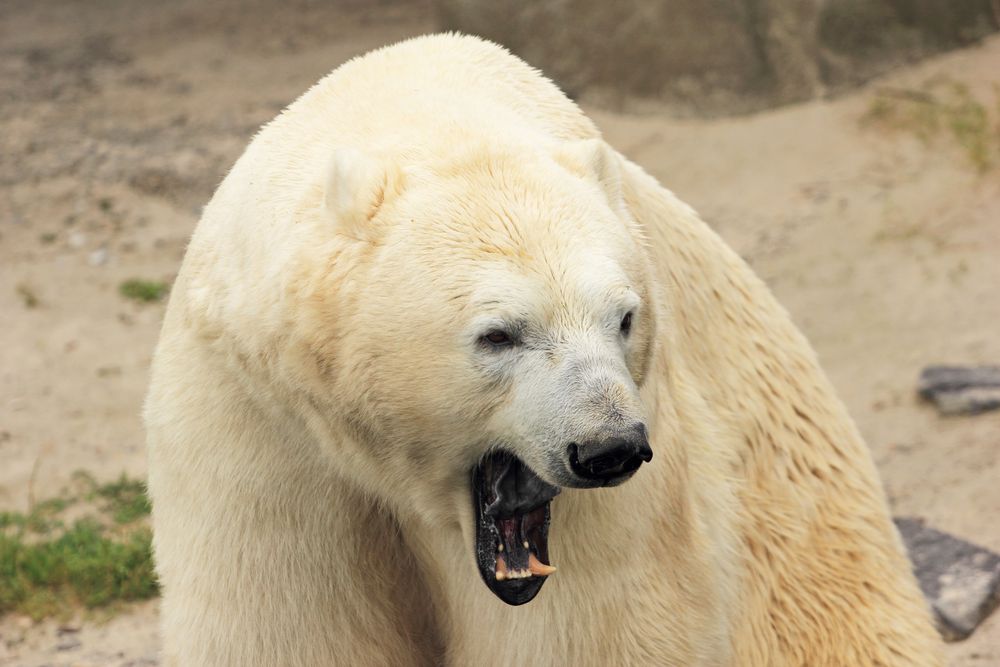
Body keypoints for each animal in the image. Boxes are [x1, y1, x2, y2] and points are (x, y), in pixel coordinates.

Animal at [145, 35, 940, 667]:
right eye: (499, 333)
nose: (609, 448)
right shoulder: (257, 421)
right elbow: (285, 624)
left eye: (624, 317)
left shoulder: (638, 469)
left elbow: (601, 627)